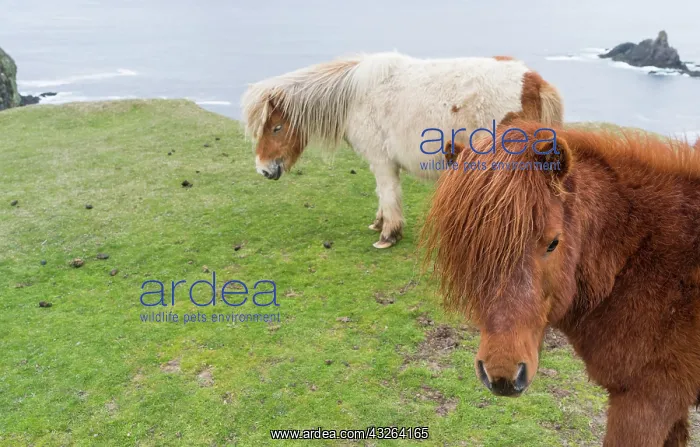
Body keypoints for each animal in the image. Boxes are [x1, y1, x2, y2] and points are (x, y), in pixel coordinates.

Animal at [240, 52, 564, 248]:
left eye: (276, 128)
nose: (263, 169)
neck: (355, 97)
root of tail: (535, 82)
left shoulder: (381, 161)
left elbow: (388, 193)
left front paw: (388, 235)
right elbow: (383, 196)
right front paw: (379, 223)